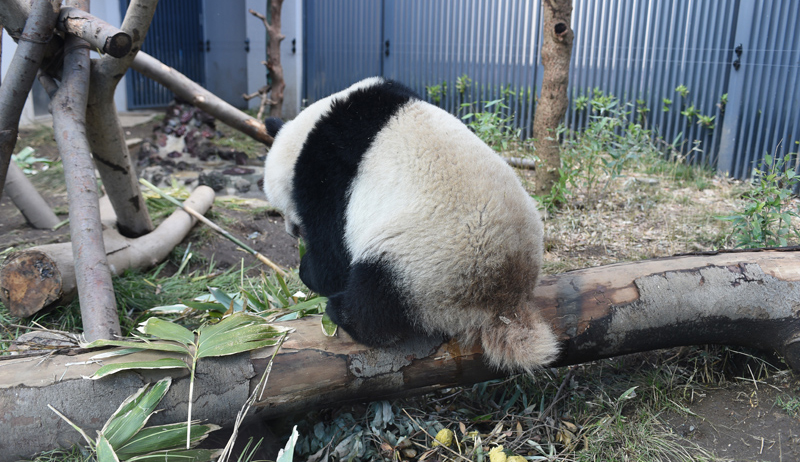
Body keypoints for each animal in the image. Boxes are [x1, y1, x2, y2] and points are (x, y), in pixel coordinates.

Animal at [266, 76, 560, 372]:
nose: (290, 231)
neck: (305, 135)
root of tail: (505, 304)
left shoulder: (327, 174)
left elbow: (332, 257)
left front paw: (307, 271)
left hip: (425, 267)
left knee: (375, 295)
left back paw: (343, 313)